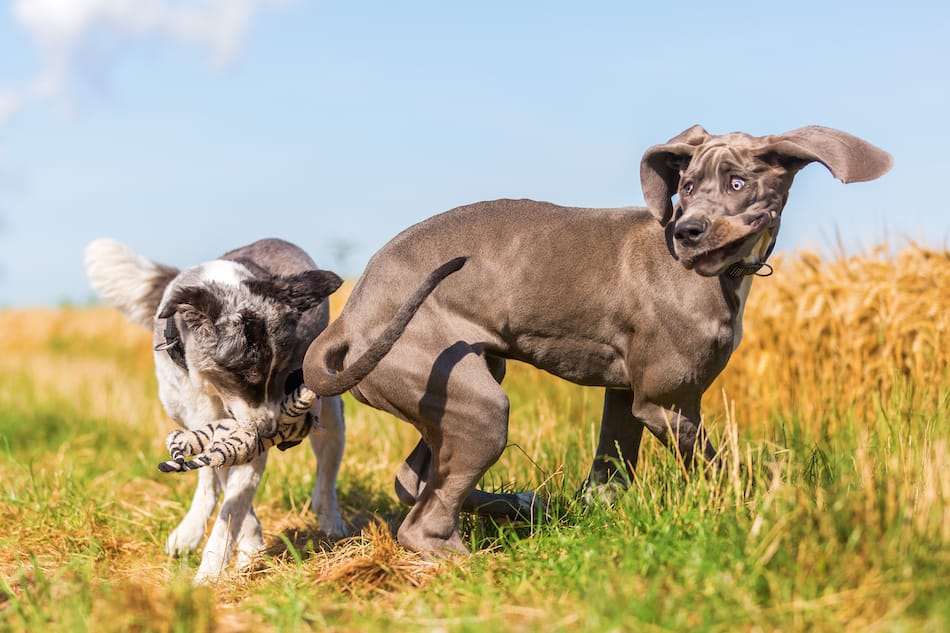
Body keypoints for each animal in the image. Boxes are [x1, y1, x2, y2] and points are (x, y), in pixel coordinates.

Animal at [304, 123, 892, 552]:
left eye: (738, 183)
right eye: (686, 187)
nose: (687, 232)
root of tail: (351, 316)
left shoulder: (626, 395)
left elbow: (611, 467)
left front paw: (596, 511)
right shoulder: (667, 404)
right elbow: (719, 466)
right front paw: (758, 508)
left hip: (457, 387)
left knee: (413, 480)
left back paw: (521, 505)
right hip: (478, 405)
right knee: (422, 520)